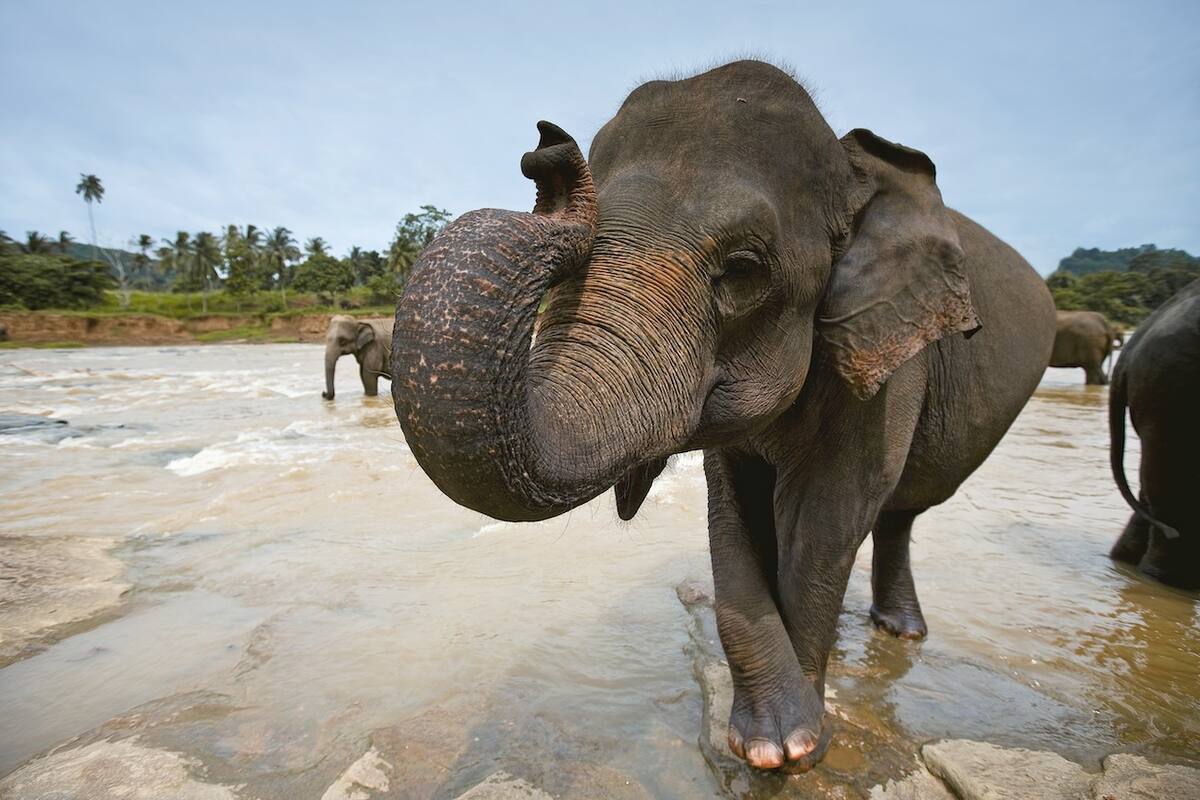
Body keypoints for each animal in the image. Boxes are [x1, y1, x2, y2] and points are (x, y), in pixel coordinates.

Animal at [391, 61, 1056, 772]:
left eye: (741, 271)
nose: (545, 149)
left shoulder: (887, 355)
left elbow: (828, 516)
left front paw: (798, 747)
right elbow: (731, 514)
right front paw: (766, 742)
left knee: (893, 508)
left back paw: (901, 633)